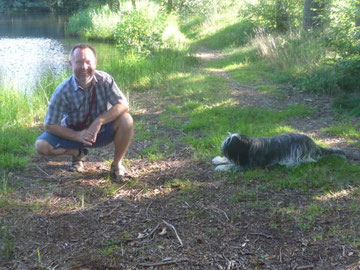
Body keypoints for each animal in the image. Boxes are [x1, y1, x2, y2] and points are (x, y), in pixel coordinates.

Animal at [212, 132, 348, 172]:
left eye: (228, 142)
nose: (222, 144)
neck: (248, 145)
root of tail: (314, 144)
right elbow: (229, 160)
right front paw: (218, 160)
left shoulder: (250, 165)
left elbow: (232, 165)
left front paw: (221, 167)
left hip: (298, 149)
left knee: (307, 160)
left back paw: (289, 163)